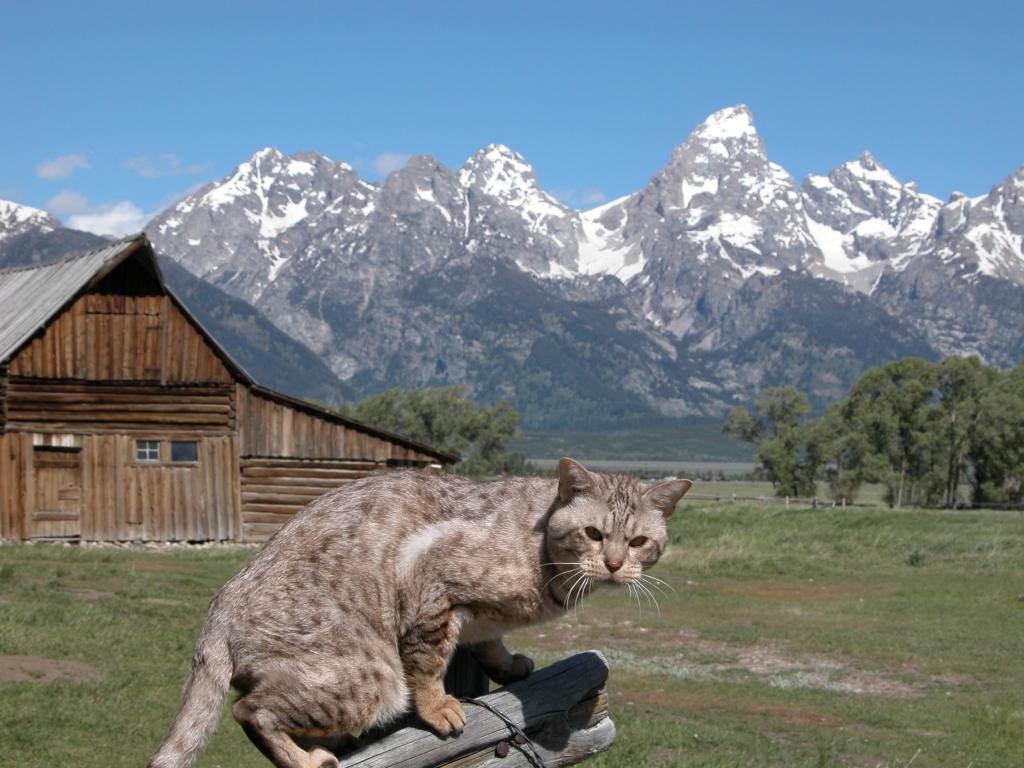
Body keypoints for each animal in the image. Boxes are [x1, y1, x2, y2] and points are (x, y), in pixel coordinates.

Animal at [148, 456, 692, 768]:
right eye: (594, 534)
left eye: (639, 542)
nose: (615, 564)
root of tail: (219, 605)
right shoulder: (429, 581)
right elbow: (428, 662)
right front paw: (440, 708)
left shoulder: (478, 615)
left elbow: (488, 639)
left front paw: (509, 663)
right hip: (373, 678)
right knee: (249, 709)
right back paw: (306, 760)